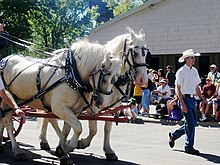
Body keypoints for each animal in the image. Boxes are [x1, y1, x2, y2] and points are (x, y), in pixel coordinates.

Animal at [39, 27, 150, 161]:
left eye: (146, 54)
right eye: (135, 53)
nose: (143, 80)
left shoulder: (112, 107)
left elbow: (107, 128)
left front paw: (108, 150)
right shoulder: (93, 106)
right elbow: (93, 130)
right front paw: (80, 143)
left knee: (48, 118)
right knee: (51, 119)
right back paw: (55, 142)